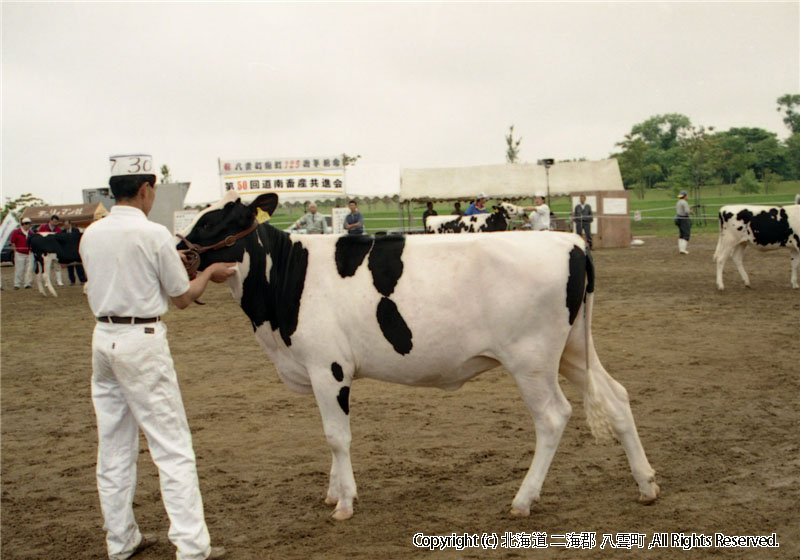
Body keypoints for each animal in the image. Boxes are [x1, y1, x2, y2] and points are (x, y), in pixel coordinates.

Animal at [181, 192, 664, 520]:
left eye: (218, 223)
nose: (179, 248)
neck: (285, 283)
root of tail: (571, 243)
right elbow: (332, 438)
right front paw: (335, 491)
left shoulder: (328, 368)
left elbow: (336, 437)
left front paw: (344, 503)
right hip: (573, 349)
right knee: (616, 396)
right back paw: (646, 485)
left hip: (531, 359)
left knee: (552, 417)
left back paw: (523, 500)